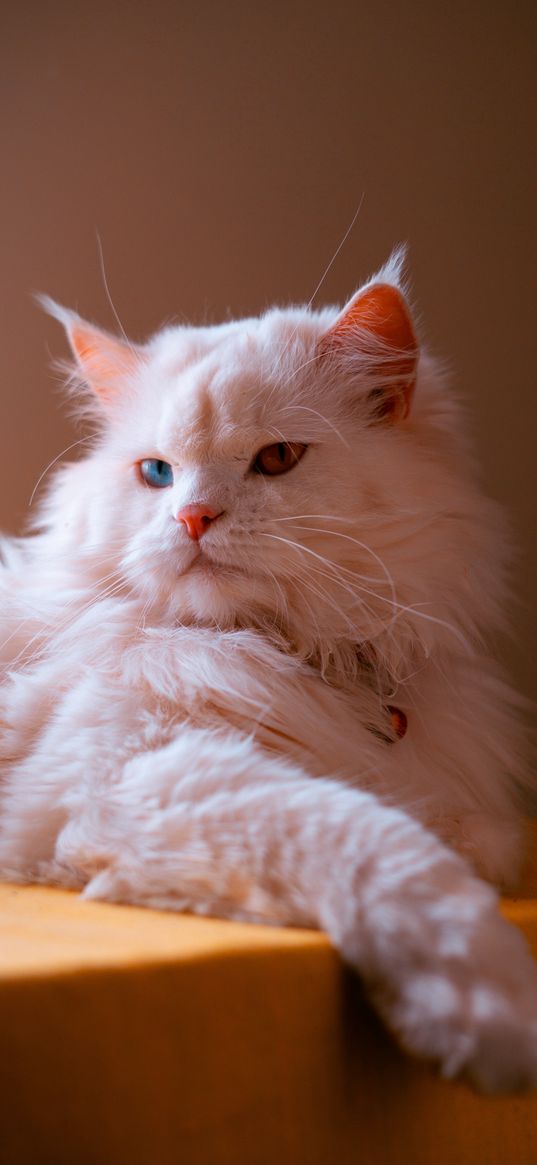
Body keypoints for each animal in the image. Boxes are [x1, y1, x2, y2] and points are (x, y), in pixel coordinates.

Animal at [1, 248, 535, 1090]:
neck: (301, 654)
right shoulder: (125, 781)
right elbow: (381, 843)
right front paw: (486, 1010)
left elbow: (475, 839)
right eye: (156, 474)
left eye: (277, 459)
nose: (192, 518)